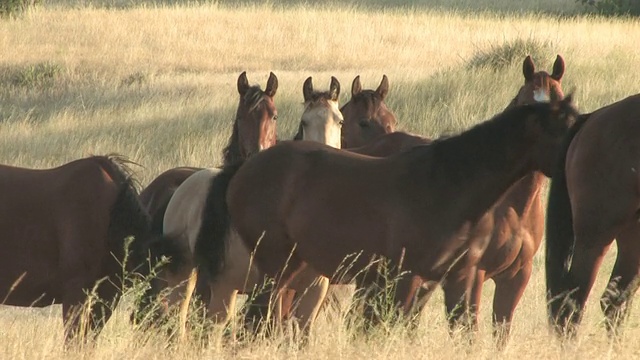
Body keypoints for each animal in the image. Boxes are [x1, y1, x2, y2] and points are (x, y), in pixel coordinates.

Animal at [196, 95, 580, 340]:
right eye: (565, 130)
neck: (448, 184)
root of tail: (243, 169)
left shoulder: (459, 278)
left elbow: (464, 335)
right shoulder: (406, 278)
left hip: (296, 269)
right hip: (276, 268)